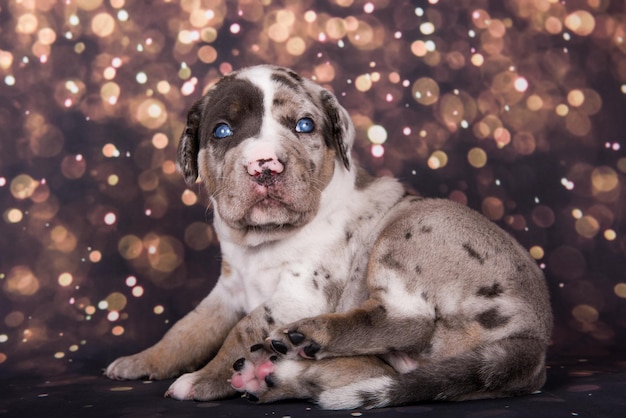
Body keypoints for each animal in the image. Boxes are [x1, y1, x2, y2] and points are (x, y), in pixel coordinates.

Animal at [107, 65, 552, 408]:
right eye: (222, 131)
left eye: (304, 125)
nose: (264, 165)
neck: (263, 242)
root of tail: (534, 341)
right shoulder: (228, 290)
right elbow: (187, 328)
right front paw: (143, 360)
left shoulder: (300, 294)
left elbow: (243, 329)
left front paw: (202, 379)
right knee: (369, 367)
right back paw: (270, 374)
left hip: (412, 226)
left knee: (408, 320)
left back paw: (305, 338)